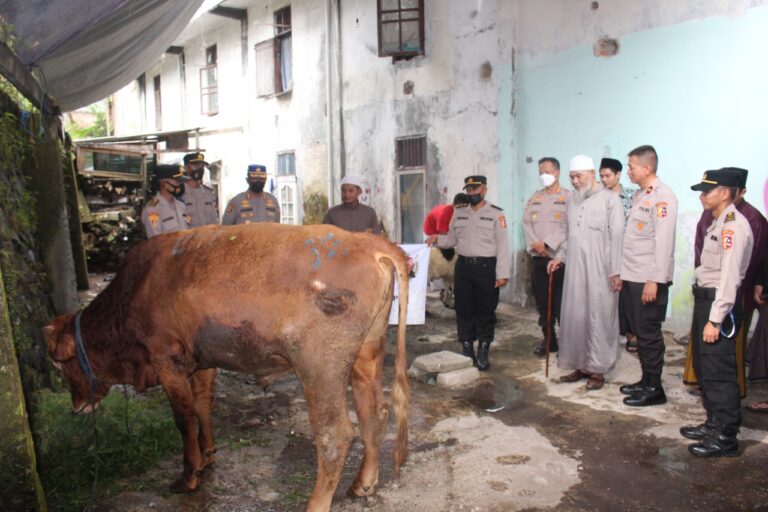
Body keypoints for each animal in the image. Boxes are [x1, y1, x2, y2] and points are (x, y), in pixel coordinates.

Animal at [45, 224, 412, 512]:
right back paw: (362, 483)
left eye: (60, 362)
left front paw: (189, 475)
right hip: (365, 356)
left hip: (320, 367)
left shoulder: (166, 359)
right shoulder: (201, 360)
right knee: (373, 414)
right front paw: (207, 454)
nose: (76, 407)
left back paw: (316, 503)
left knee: (335, 434)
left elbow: (183, 418)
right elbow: (202, 404)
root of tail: (366, 241)